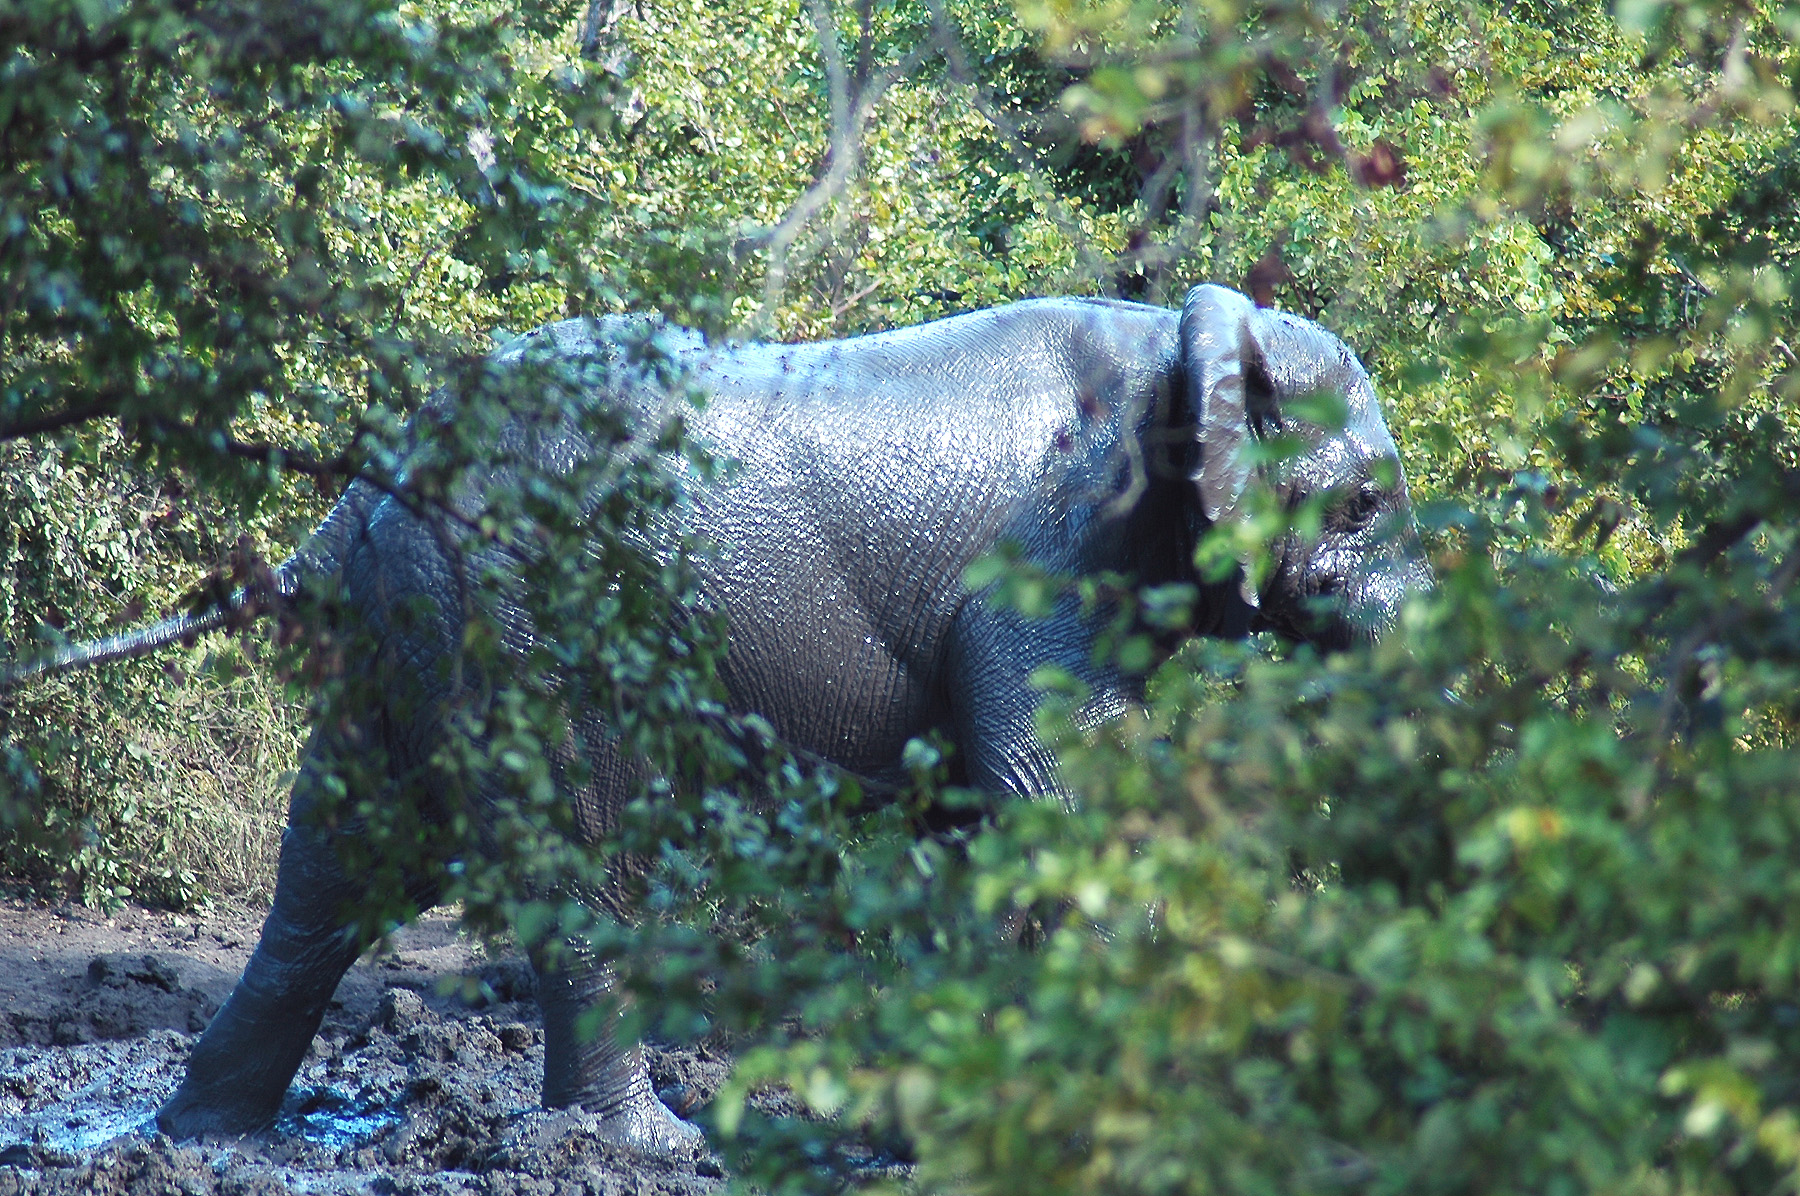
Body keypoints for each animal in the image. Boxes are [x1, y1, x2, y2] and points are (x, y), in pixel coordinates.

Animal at [8, 283, 1428, 1151]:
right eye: (1364, 505)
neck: (1182, 337)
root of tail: (373, 477)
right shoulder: (1053, 558)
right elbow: (1056, 793)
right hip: (527, 613)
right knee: (569, 845)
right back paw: (641, 1146)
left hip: (412, 616)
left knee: (339, 853)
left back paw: (203, 1135)